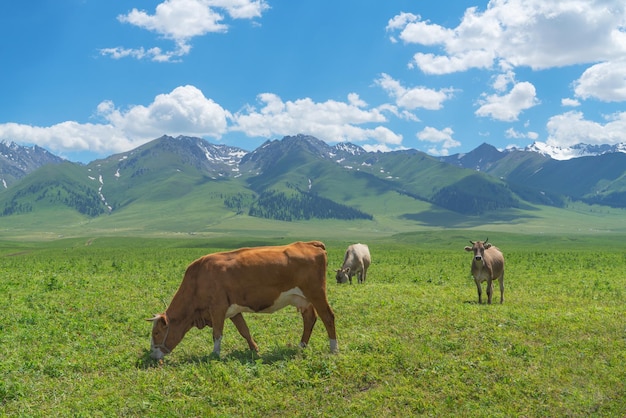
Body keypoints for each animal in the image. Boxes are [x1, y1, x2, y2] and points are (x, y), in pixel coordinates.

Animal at [147, 242, 336, 360]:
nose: (152, 356)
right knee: (310, 319)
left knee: (328, 317)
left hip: (316, 294)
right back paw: (301, 346)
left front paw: (215, 355)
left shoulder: (217, 308)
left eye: (156, 333)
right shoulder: (233, 311)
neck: (198, 279)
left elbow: (217, 333)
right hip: (304, 300)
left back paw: (334, 349)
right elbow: (244, 330)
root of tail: (310, 243)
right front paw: (255, 349)